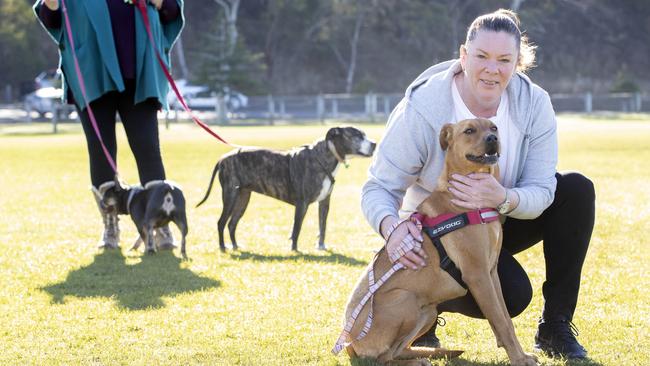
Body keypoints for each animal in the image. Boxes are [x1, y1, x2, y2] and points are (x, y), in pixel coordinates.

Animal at [195, 126, 372, 252]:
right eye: (357, 136)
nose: (374, 144)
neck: (323, 157)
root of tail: (222, 159)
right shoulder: (302, 203)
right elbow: (297, 228)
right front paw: (294, 250)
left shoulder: (324, 202)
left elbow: (323, 226)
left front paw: (321, 246)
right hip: (230, 194)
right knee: (221, 222)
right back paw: (223, 247)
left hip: (243, 197)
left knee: (232, 224)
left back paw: (235, 246)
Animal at [334, 118, 536, 364]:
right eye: (469, 130)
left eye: (493, 128)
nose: (493, 139)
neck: (472, 202)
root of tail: (349, 345)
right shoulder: (477, 275)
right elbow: (500, 320)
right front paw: (519, 360)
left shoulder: (491, 272)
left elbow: (505, 319)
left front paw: (521, 354)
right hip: (406, 299)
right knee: (383, 358)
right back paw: (418, 360)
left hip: (428, 311)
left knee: (400, 349)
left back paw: (429, 354)